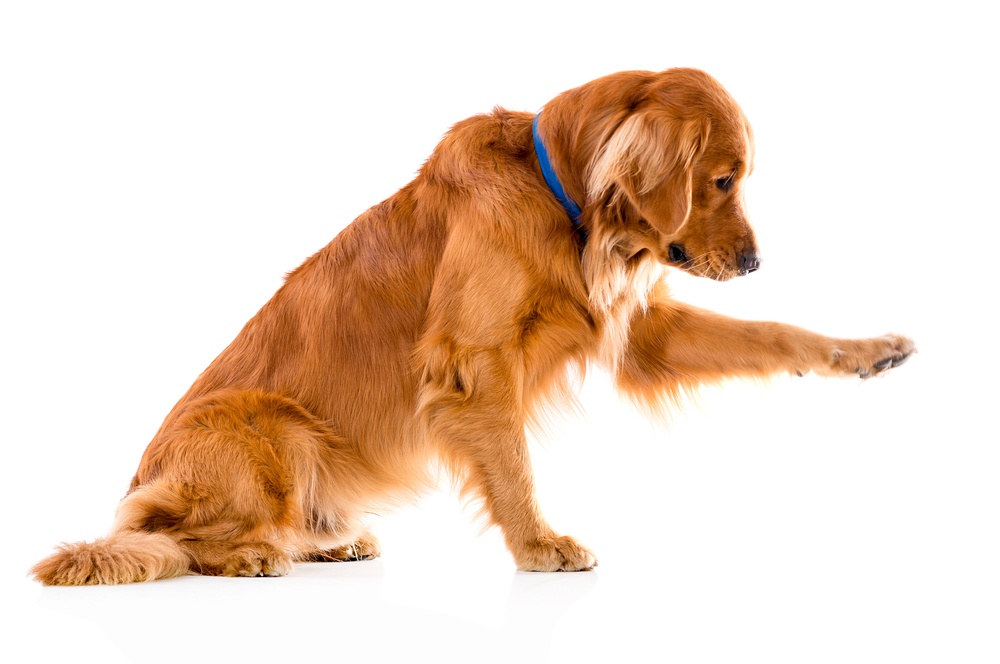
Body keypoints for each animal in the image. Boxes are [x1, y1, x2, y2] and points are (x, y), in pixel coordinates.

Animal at [31, 67, 912, 584]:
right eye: (723, 180)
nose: (758, 261)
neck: (562, 202)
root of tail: (138, 483)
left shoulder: (643, 334)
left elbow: (774, 333)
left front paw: (870, 352)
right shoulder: (473, 363)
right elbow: (513, 463)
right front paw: (541, 545)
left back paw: (326, 539)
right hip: (272, 427)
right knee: (173, 538)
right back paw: (252, 552)